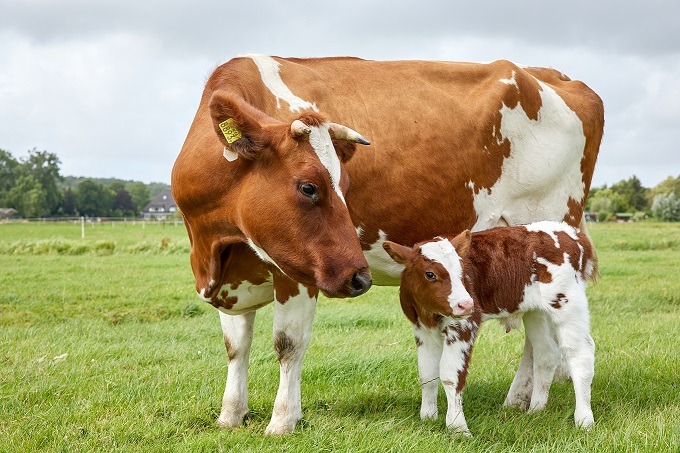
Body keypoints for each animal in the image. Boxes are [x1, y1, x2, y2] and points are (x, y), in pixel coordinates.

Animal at [382, 221, 596, 432]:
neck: (429, 314)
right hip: (536, 311)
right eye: (429, 274)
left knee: (580, 353)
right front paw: (428, 417)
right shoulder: (422, 330)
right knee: (546, 352)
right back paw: (535, 409)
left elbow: (451, 375)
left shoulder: (464, 325)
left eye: (462, 272)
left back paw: (584, 420)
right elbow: (427, 373)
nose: (466, 304)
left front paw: (457, 427)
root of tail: (571, 233)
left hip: (568, 303)